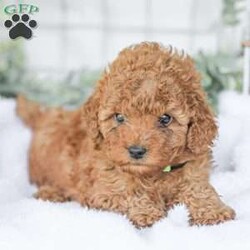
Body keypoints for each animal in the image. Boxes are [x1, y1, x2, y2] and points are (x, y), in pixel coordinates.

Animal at [16, 42, 235, 227]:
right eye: (119, 117)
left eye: (165, 118)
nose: (136, 151)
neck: (153, 174)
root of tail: (43, 116)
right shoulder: (102, 191)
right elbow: (129, 193)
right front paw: (148, 212)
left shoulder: (194, 169)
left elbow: (198, 188)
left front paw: (212, 210)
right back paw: (51, 192)